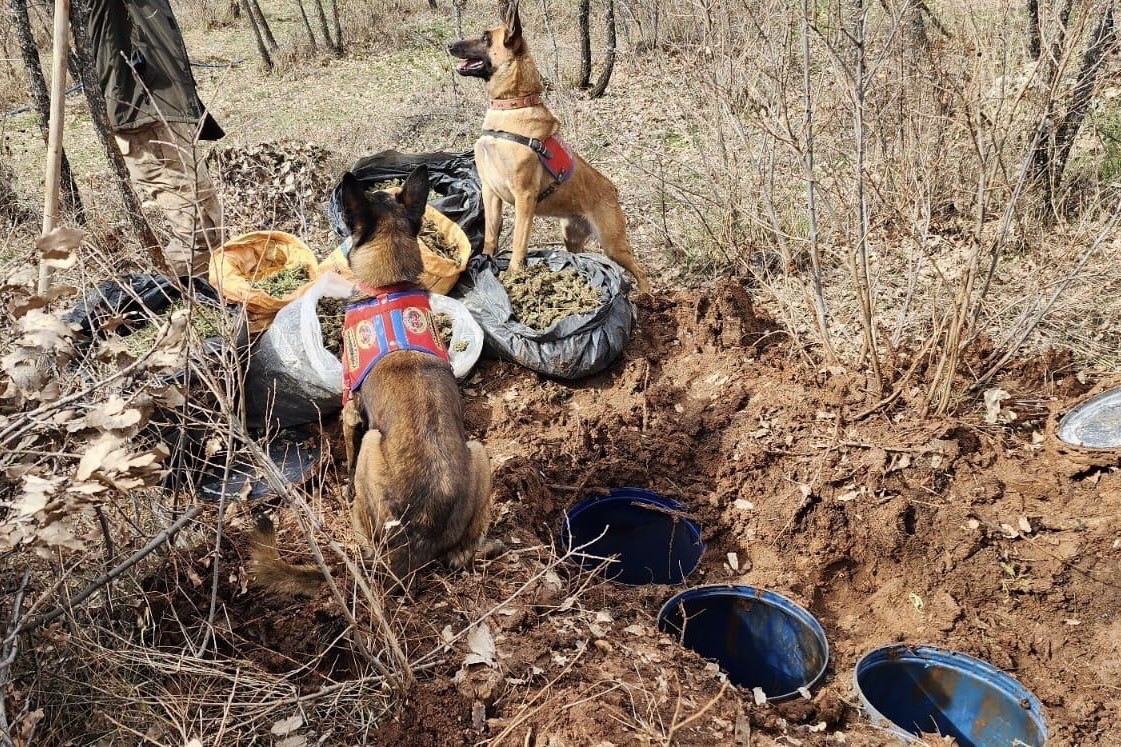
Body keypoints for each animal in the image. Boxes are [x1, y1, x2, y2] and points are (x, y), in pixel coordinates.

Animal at [256, 166, 497, 592]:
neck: (389, 285)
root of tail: (416, 540)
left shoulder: (351, 411)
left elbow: (348, 456)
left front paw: (346, 484)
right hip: (479, 452)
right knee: (462, 552)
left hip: (372, 442)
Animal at [448, 2, 654, 291]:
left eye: (486, 38)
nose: (449, 45)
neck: (511, 108)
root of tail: (612, 189)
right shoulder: (490, 193)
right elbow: (490, 237)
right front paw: (486, 263)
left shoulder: (524, 198)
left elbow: (518, 244)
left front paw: (514, 276)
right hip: (572, 238)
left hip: (612, 243)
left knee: (640, 270)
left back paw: (647, 295)